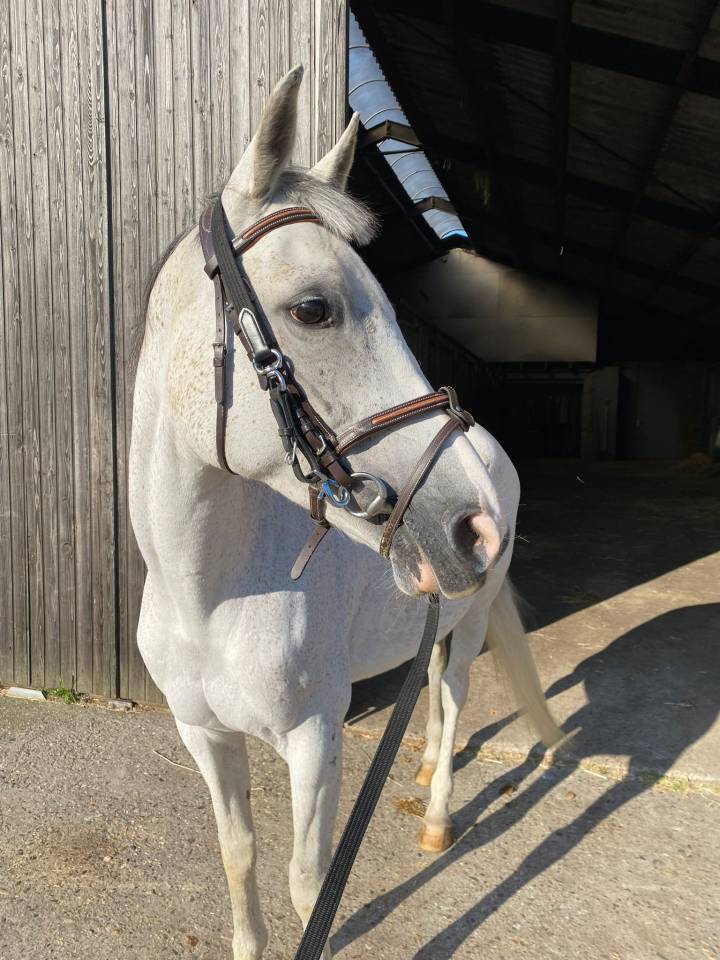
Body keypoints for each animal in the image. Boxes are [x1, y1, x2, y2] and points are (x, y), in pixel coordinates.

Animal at [129, 65, 562, 960]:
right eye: (312, 309)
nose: (475, 526)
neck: (213, 595)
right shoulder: (204, 735)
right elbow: (238, 854)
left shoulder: (314, 741)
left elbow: (309, 885)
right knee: (431, 684)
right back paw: (424, 766)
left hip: (470, 618)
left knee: (456, 692)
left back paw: (436, 817)